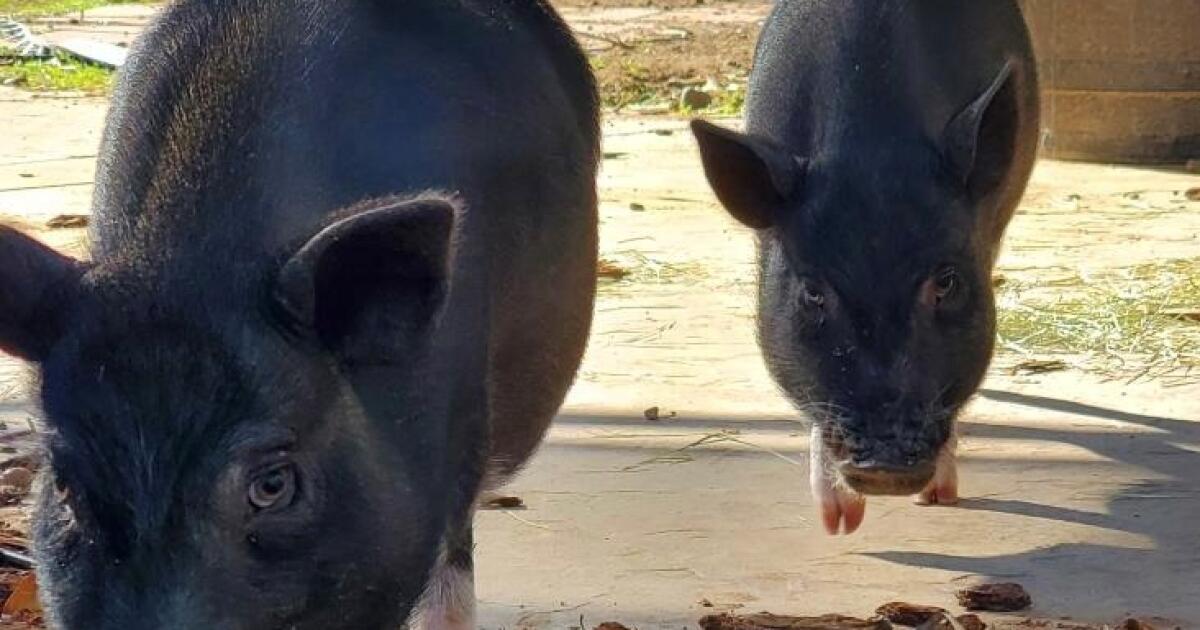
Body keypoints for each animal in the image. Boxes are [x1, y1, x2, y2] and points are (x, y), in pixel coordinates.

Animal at [691, 0, 1039, 534]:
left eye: (946, 282)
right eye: (813, 292)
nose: (885, 466)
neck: (871, 148)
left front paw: (937, 500)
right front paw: (838, 524)